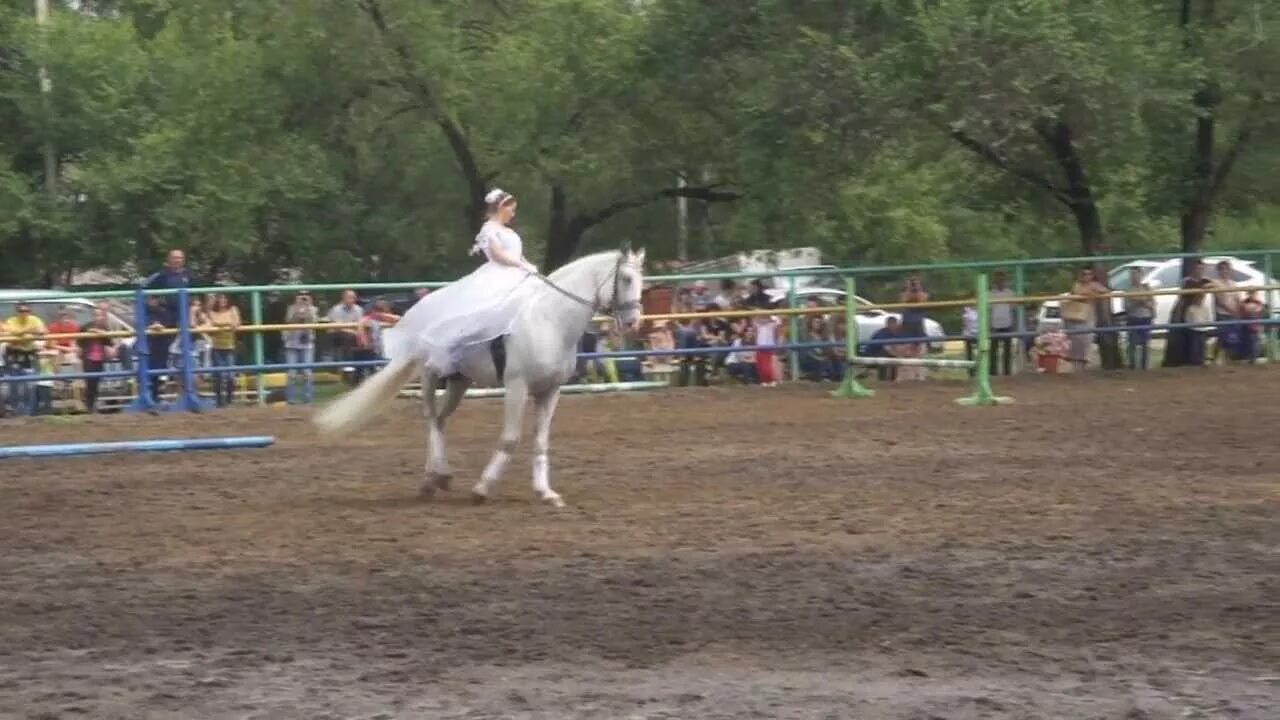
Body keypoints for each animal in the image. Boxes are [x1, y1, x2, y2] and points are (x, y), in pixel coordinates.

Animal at [314, 249, 645, 507]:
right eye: (626, 279)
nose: (633, 322)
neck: (550, 322)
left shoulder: (550, 391)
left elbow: (541, 441)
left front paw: (546, 493)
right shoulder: (516, 386)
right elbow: (510, 439)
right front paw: (482, 489)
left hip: (459, 381)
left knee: (440, 420)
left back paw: (436, 479)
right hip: (431, 374)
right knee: (430, 418)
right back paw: (434, 478)